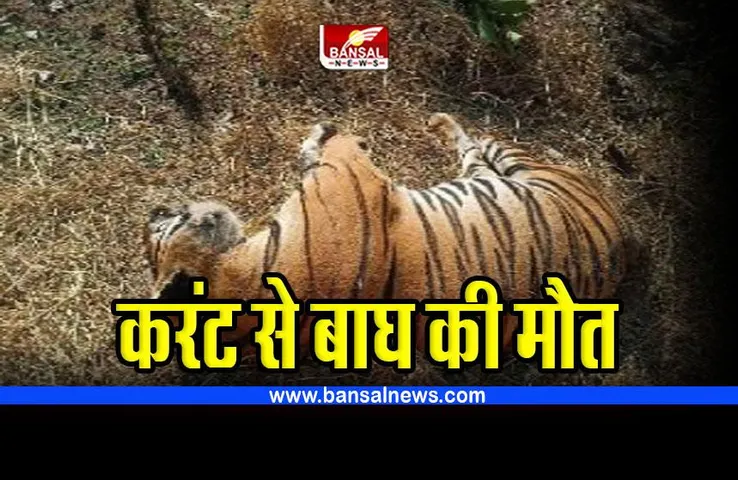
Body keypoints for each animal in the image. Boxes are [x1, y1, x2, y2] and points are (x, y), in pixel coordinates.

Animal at [145, 112, 628, 363]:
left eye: (159, 225)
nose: (156, 209)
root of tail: (626, 234)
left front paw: (320, 137)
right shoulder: (348, 178)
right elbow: (336, 149)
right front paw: (324, 135)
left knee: (476, 148)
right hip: (526, 170)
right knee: (481, 145)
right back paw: (442, 122)